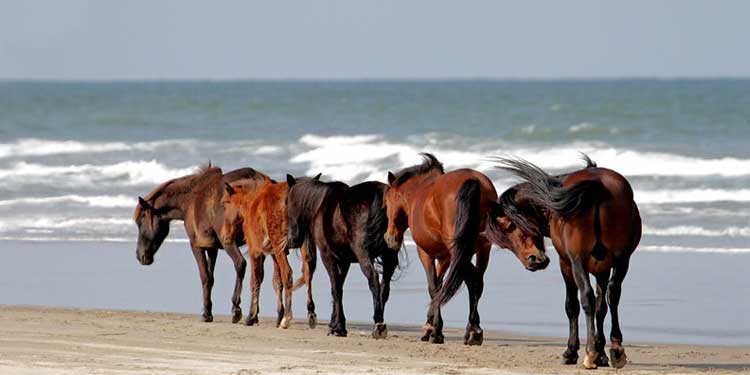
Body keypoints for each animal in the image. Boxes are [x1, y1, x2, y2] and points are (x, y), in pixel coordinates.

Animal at [135, 167, 270, 324]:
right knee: (258, 274)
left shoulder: (197, 245)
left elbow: (205, 277)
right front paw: (208, 310)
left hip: (229, 242)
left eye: (140, 222)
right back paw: (253, 315)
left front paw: (207, 313)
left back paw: (236, 309)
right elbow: (211, 278)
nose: (140, 256)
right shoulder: (212, 247)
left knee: (240, 264)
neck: (189, 200)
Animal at [222, 178, 318, 330]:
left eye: (224, 204)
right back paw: (311, 314)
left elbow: (255, 281)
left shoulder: (256, 252)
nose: (225, 236)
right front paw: (278, 315)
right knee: (308, 274)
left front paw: (251, 316)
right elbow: (277, 281)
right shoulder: (274, 253)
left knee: (288, 274)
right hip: (301, 246)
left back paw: (286, 319)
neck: (252, 203)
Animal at [284, 175, 400, 340]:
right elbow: (339, 285)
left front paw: (339, 327)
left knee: (374, 280)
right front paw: (334, 324)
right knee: (385, 286)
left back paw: (378, 323)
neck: (320, 205)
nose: (292, 240)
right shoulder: (344, 260)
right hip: (389, 255)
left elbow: (335, 288)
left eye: (287, 202)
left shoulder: (327, 255)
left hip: (363, 255)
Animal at [382, 153, 552, 346]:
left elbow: (434, 287)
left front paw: (434, 330)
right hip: (481, 249)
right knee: (477, 282)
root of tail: (473, 181)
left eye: (387, 202)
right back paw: (473, 331)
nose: (390, 238)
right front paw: (431, 326)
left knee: (471, 280)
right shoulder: (446, 258)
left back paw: (472, 331)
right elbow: (440, 285)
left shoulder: (425, 253)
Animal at [494, 156, 648, 370]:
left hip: (577, 262)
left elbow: (572, 305)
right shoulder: (602, 270)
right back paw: (616, 348)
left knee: (586, 297)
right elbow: (602, 307)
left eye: (510, 226)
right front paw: (602, 354)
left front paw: (572, 351)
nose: (534, 261)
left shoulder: (566, 263)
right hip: (622, 260)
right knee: (613, 294)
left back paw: (589, 353)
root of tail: (598, 186)